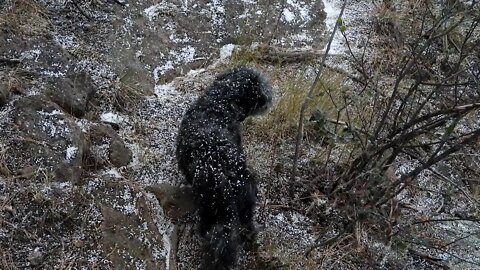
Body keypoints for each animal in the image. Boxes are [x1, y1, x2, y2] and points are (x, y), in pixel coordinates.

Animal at [177, 66, 274, 268]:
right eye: (259, 84)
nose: (270, 97)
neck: (218, 102)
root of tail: (224, 178)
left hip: (213, 212)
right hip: (244, 206)